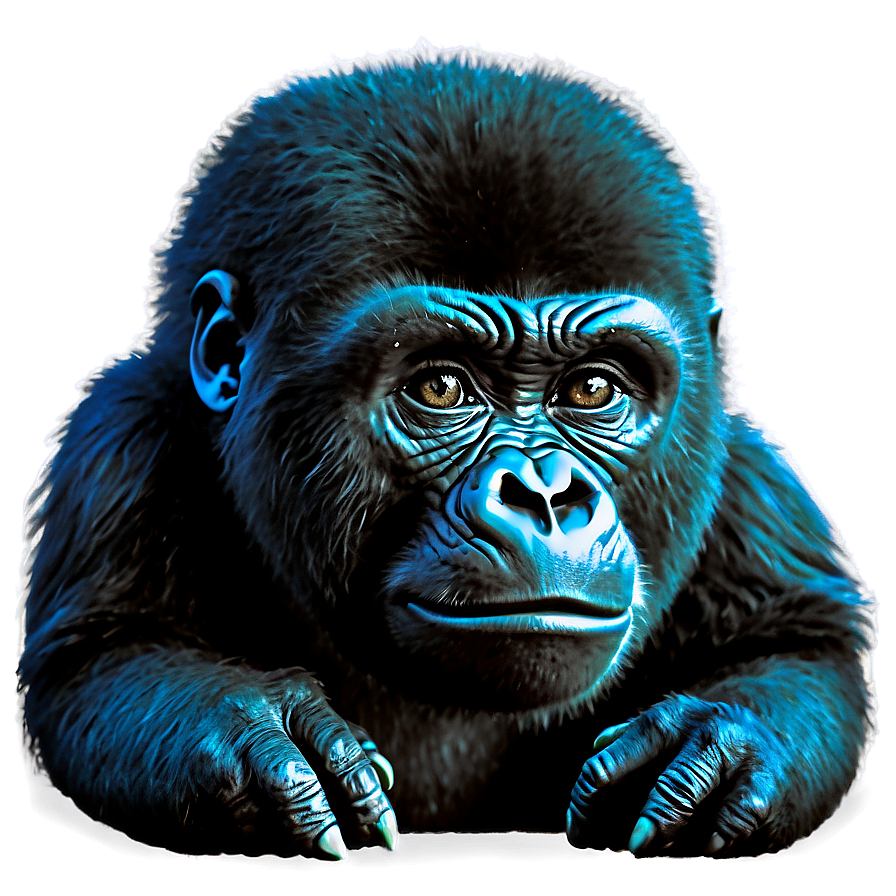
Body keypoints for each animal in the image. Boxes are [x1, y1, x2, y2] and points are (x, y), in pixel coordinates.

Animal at [19, 44, 872, 861]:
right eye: (440, 387)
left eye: (594, 388)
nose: (545, 494)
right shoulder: (123, 444)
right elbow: (99, 659)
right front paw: (255, 734)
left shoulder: (745, 480)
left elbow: (803, 642)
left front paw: (723, 741)